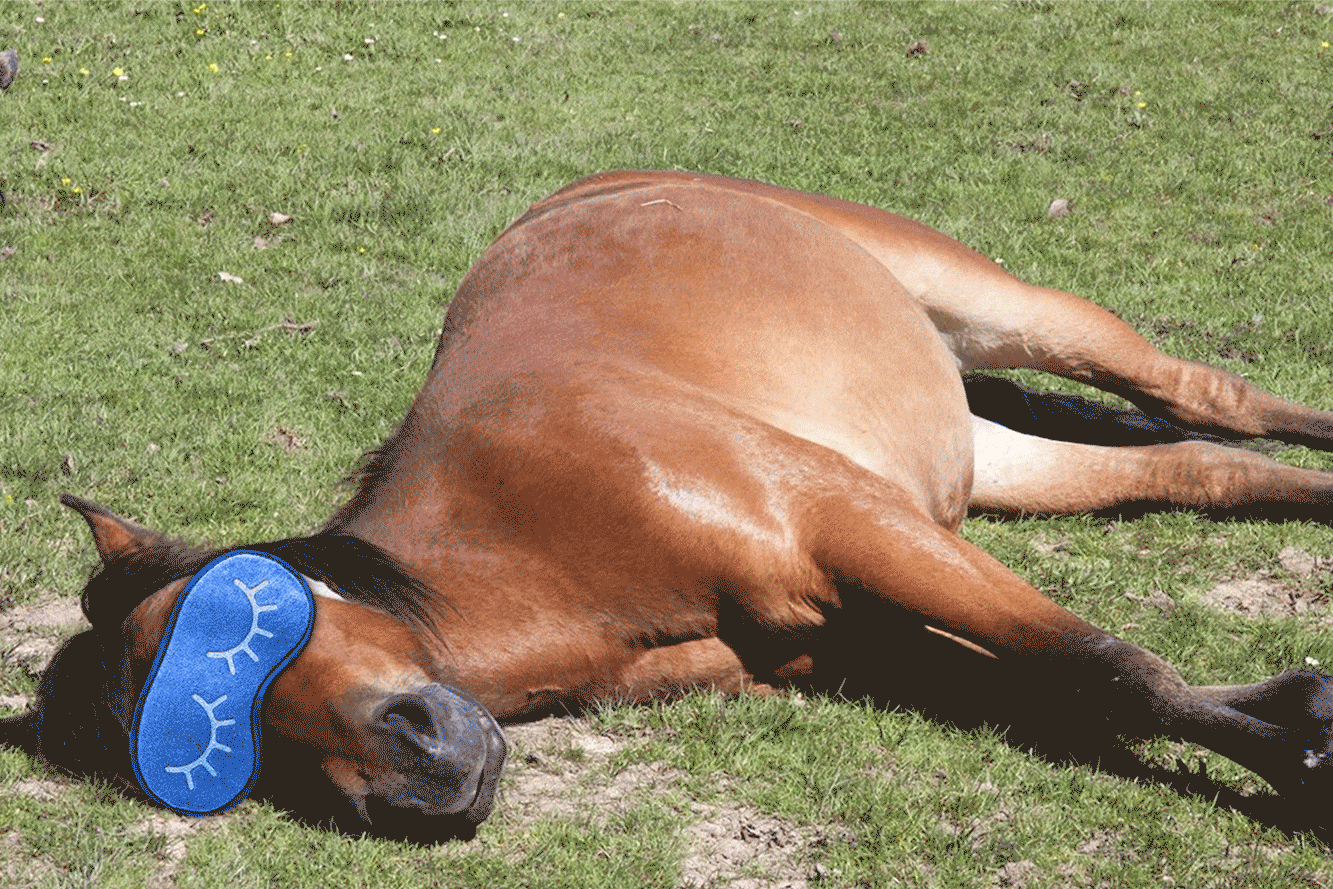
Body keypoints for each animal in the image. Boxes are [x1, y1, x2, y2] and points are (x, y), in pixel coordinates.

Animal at [7, 170, 1333, 840]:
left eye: (247, 614)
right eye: (204, 758)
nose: (415, 774)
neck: (539, 539)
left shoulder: (853, 523)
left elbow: (1109, 665)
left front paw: (1301, 768)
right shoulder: (836, 636)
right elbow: (1059, 687)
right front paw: (1296, 713)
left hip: (1009, 312)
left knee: (1202, 393)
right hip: (980, 452)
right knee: (1197, 462)